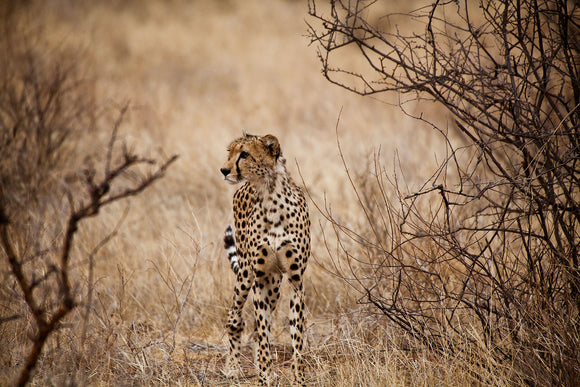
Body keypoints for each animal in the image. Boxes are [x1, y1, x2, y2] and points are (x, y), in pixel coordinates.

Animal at [220, 134, 310, 387]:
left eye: (244, 154)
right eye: (230, 152)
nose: (224, 170)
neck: (270, 195)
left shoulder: (296, 280)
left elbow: (296, 335)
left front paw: (299, 378)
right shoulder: (258, 279)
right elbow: (262, 332)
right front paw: (263, 377)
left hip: (274, 285)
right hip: (246, 274)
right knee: (236, 319)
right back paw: (233, 368)